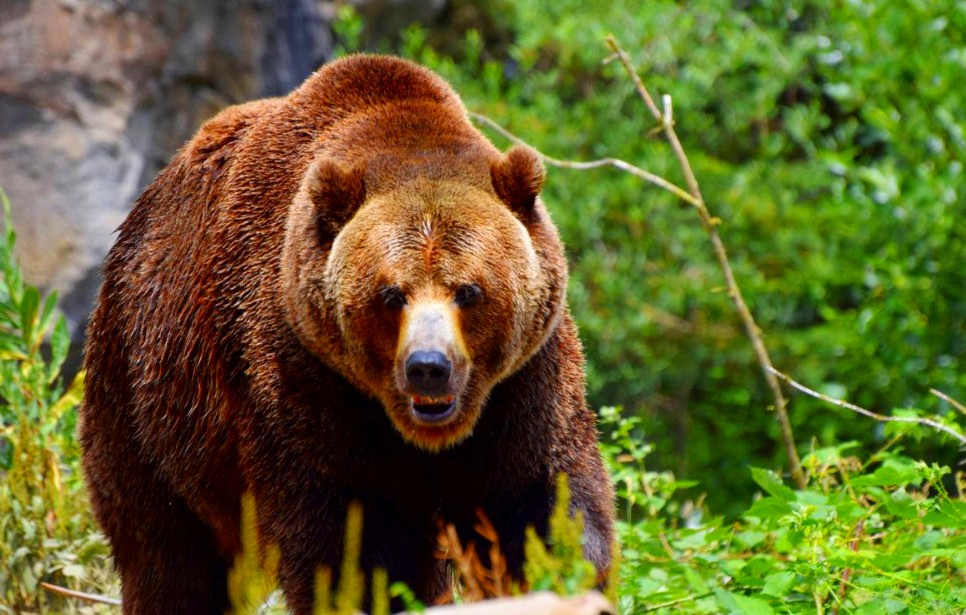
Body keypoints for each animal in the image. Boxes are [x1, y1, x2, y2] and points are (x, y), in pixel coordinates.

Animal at [79, 55, 616, 612]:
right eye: (391, 294)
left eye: (469, 290)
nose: (428, 367)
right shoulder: (304, 375)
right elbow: (352, 542)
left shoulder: (522, 384)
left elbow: (537, 505)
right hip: (151, 400)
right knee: (168, 552)